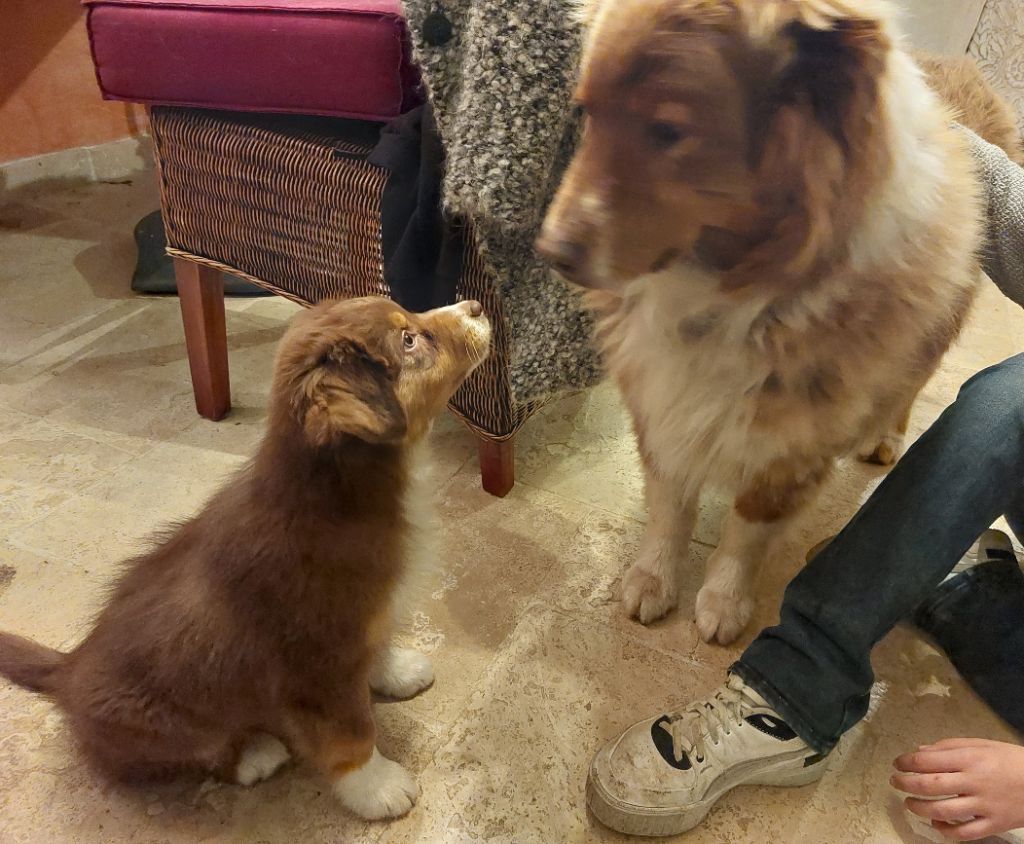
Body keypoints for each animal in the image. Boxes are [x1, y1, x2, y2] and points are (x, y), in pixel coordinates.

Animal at [0, 296, 490, 820]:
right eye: (409, 340)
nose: (477, 305)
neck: (339, 493)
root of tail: (69, 669)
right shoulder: (318, 665)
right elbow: (351, 731)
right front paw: (375, 787)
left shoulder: (365, 620)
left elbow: (377, 646)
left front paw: (396, 672)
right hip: (166, 722)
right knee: (191, 756)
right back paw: (256, 753)